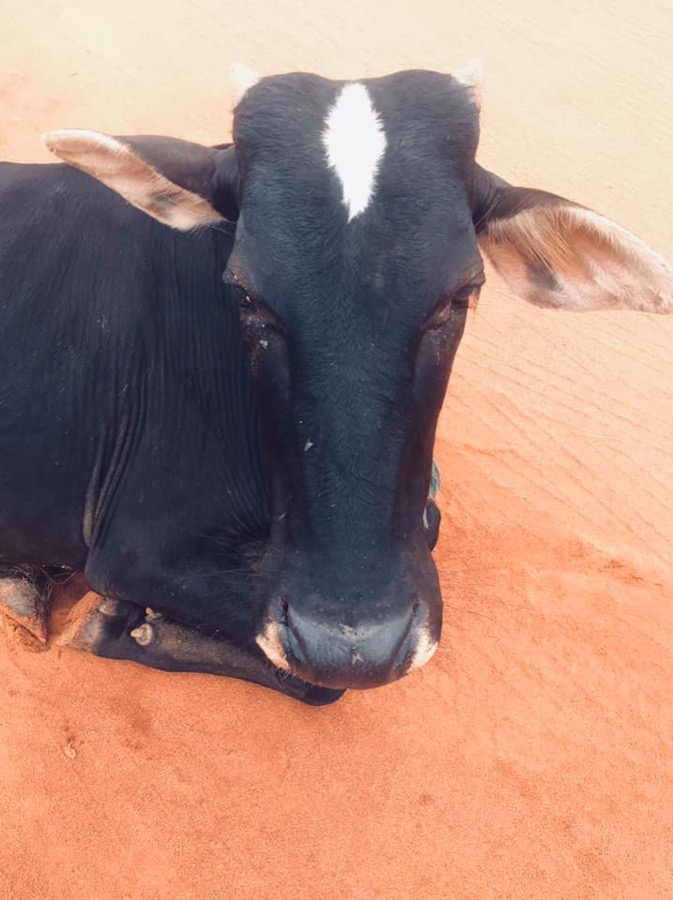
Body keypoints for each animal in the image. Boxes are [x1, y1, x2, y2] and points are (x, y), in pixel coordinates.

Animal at [0, 62, 670, 705]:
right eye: (246, 293)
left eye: (461, 295)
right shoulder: (142, 548)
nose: (353, 643)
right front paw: (123, 625)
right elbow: (318, 682)